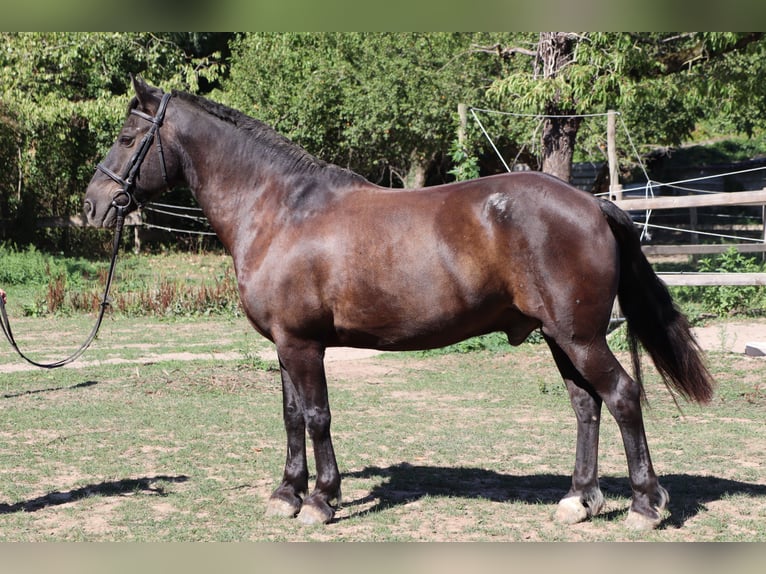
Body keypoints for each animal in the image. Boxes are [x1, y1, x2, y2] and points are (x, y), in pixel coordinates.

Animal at [83, 76, 714, 530]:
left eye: (127, 138)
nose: (92, 205)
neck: (281, 210)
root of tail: (593, 204)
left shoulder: (303, 345)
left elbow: (316, 415)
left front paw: (320, 501)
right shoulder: (286, 344)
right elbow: (290, 416)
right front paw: (286, 494)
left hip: (580, 337)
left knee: (622, 397)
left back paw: (644, 506)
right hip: (561, 337)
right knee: (586, 406)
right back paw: (578, 501)